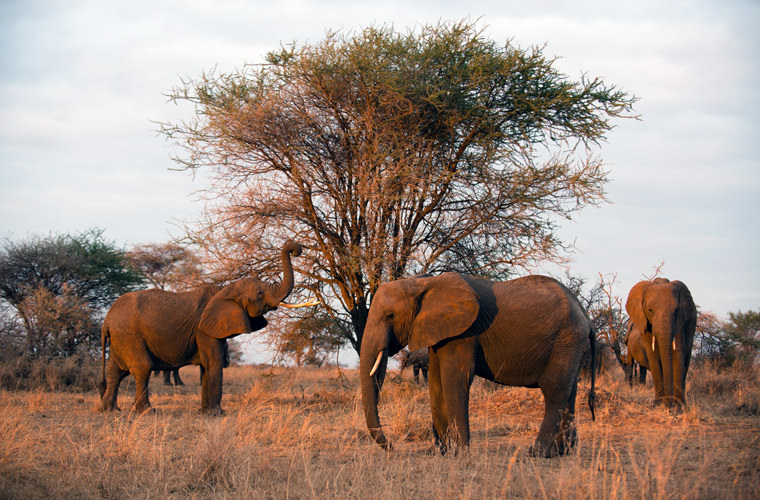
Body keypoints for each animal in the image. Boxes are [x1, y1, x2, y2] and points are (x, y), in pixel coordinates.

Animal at [99, 242, 304, 414]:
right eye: (260, 293)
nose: (296, 250)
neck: (226, 289)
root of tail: (107, 319)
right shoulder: (204, 330)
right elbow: (214, 361)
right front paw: (217, 414)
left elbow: (207, 365)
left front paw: (205, 412)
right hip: (129, 334)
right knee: (142, 367)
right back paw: (147, 412)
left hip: (121, 337)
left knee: (115, 371)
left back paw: (110, 410)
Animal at [360, 274, 596, 458]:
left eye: (390, 316)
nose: (393, 448)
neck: (423, 282)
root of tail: (586, 317)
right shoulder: (439, 332)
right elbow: (436, 383)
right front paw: (440, 452)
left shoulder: (464, 333)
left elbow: (455, 379)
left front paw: (458, 453)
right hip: (571, 345)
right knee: (570, 391)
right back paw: (563, 452)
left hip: (565, 340)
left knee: (554, 390)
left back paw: (537, 453)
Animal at [624, 276, 696, 408]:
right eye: (650, 310)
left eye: (676, 310)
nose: (669, 404)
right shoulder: (644, 322)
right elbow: (652, 354)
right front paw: (657, 403)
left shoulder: (680, 320)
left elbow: (678, 351)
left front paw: (678, 406)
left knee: (686, 360)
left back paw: (682, 403)